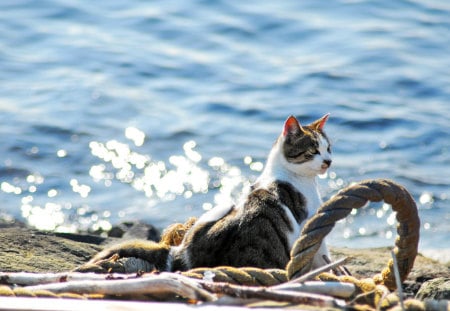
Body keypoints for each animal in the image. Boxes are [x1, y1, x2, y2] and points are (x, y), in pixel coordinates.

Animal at [80, 114, 330, 272]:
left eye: (329, 148)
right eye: (313, 151)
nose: (328, 161)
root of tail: (179, 256)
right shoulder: (312, 224)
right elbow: (322, 255)